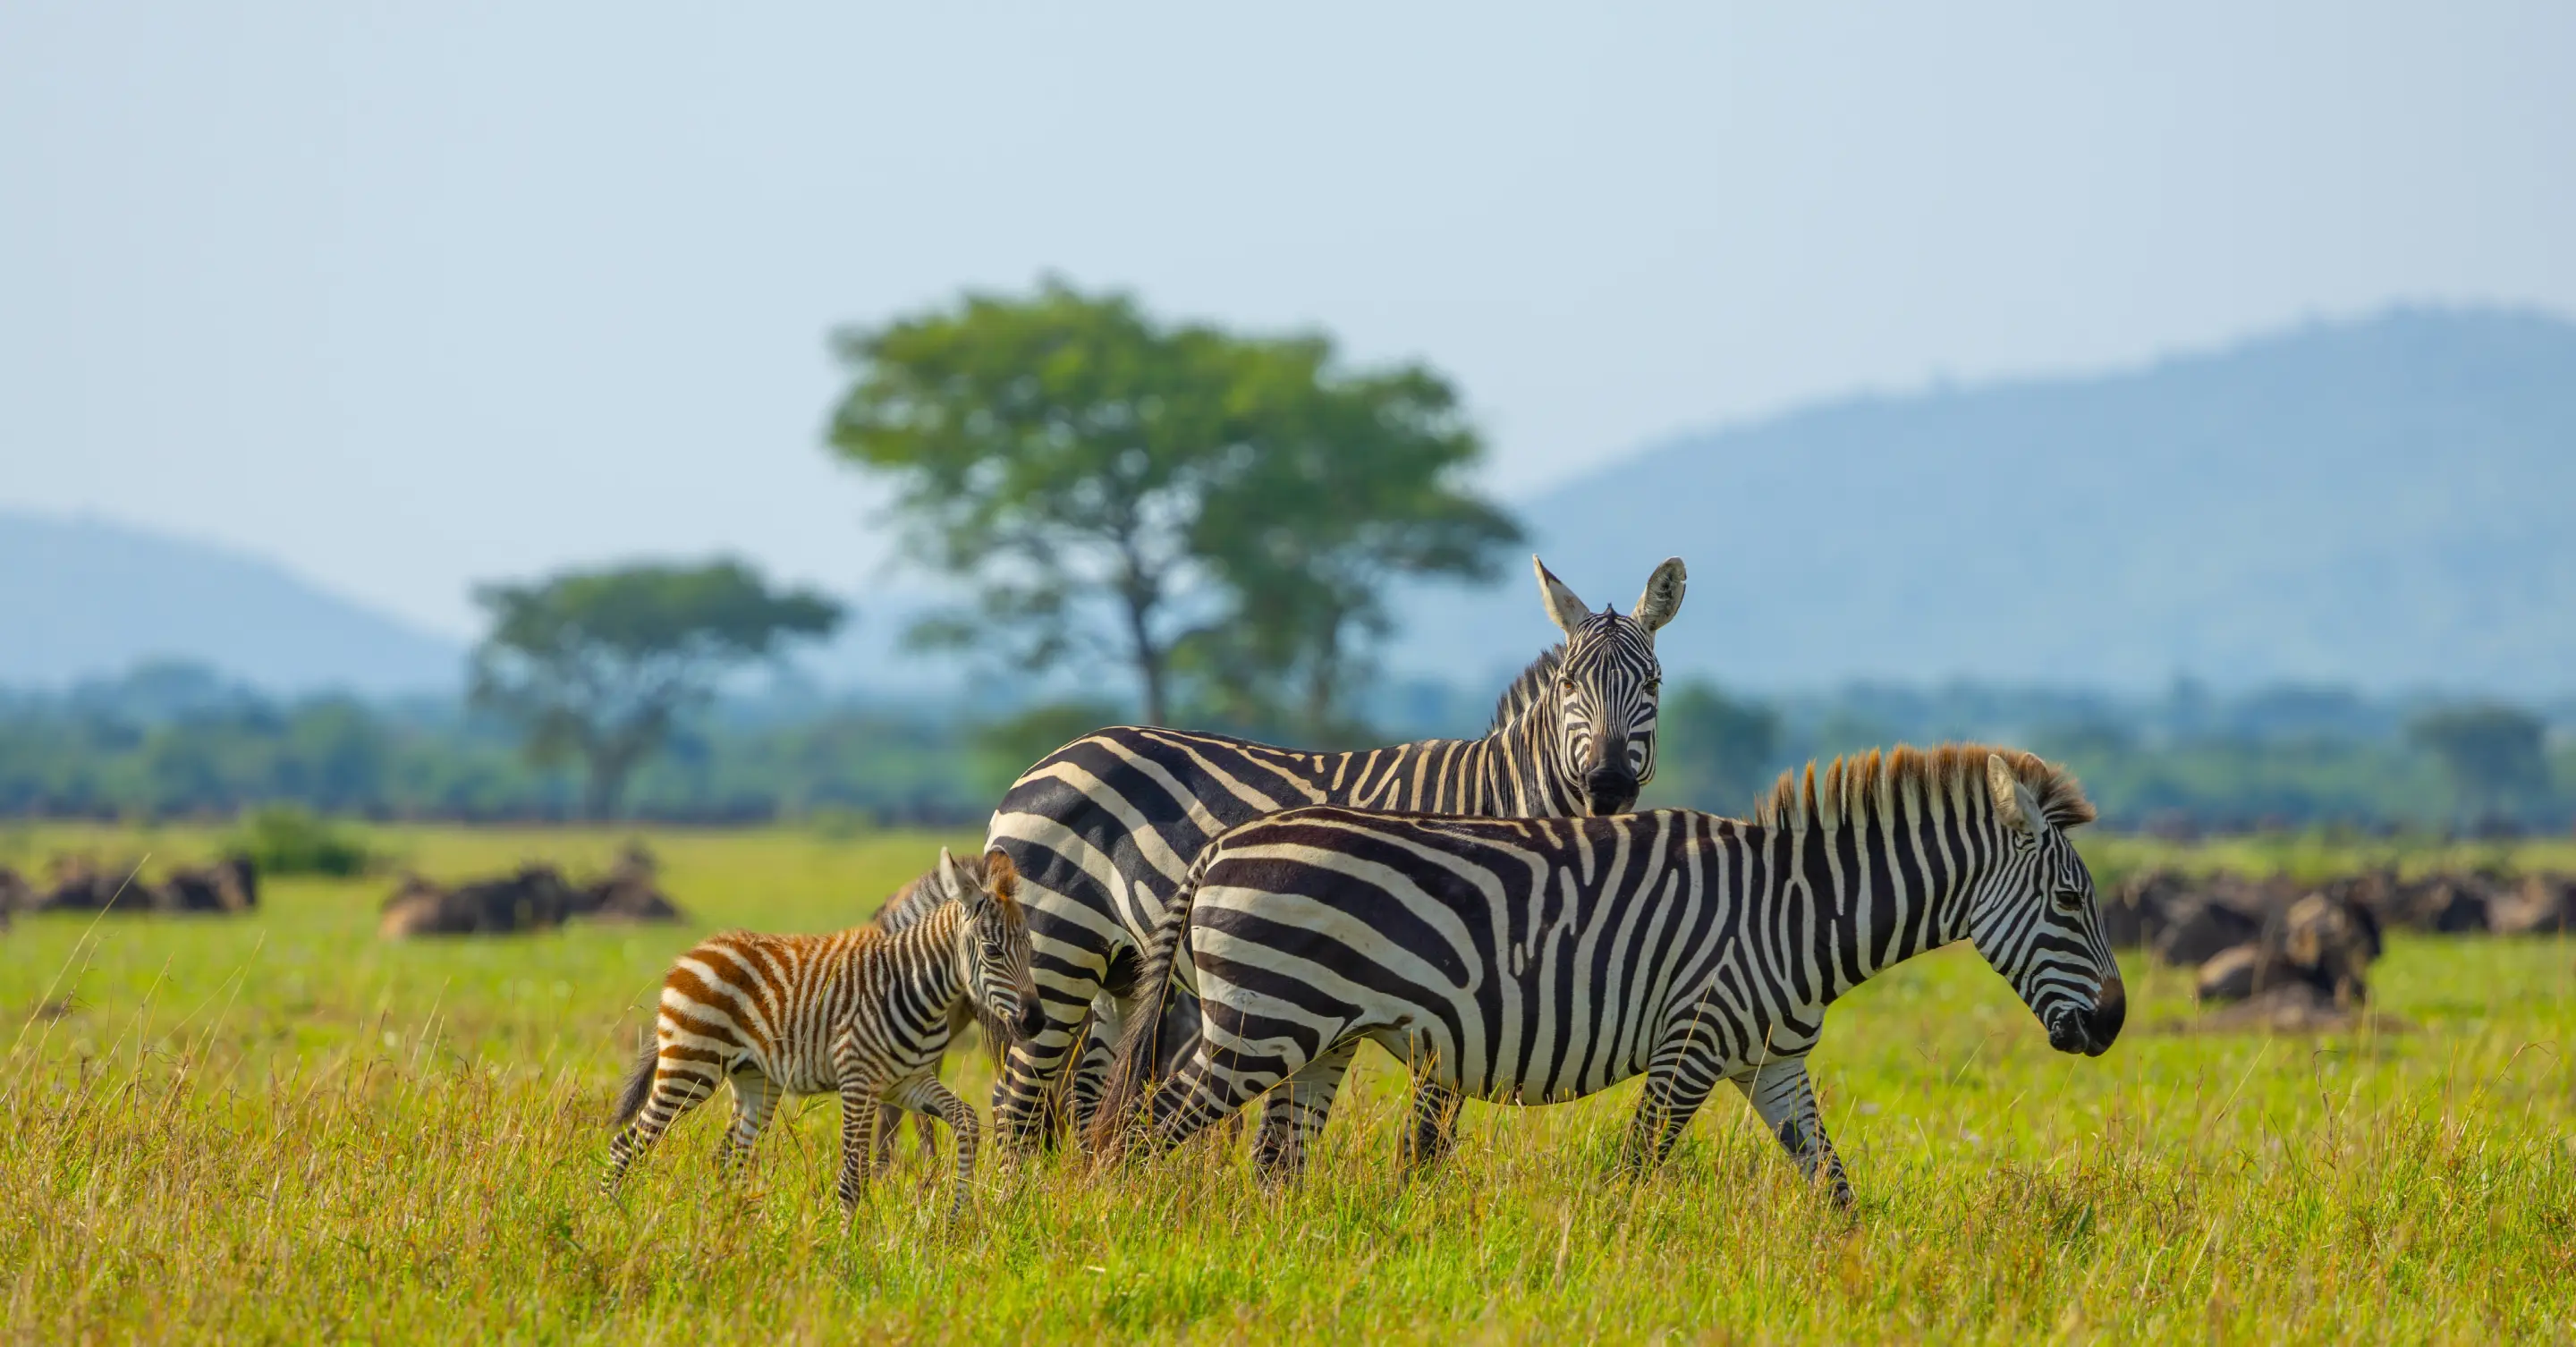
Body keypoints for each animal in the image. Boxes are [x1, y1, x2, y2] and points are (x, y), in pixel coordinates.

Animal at [602, 847, 1038, 1219]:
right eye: (993, 951)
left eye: (1030, 948)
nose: (1034, 1020)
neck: (911, 986)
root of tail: (695, 951)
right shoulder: (859, 1081)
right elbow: (853, 1176)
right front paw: (850, 1249)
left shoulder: (907, 1082)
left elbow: (966, 1119)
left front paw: (956, 1213)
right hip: (691, 1066)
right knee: (626, 1144)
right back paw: (613, 1221)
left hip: (754, 1081)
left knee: (730, 1161)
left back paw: (732, 1233)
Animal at [985, 553, 1687, 1169]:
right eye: (1570, 685)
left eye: (1653, 685)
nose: (1606, 785)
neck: (1500, 799)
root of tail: (1047, 760)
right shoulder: (1457, 995)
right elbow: (1426, 1141)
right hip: (1058, 948)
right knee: (1015, 1102)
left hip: (1121, 970)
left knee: (1082, 1098)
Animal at [1091, 744, 2126, 1205]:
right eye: (2071, 903)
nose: (2113, 1025)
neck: (1799, 912)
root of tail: (1223, 843)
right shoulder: (1693, 1042)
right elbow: (1635, 1172)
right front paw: (1614, 1259)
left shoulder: (1771, 1063)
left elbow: (1832, 1185)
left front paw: (1855, 1279)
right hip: (1255, 1026)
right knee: (1134, 1135)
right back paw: (1117, 1234)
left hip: (1316, 1038)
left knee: (1274, 1165)